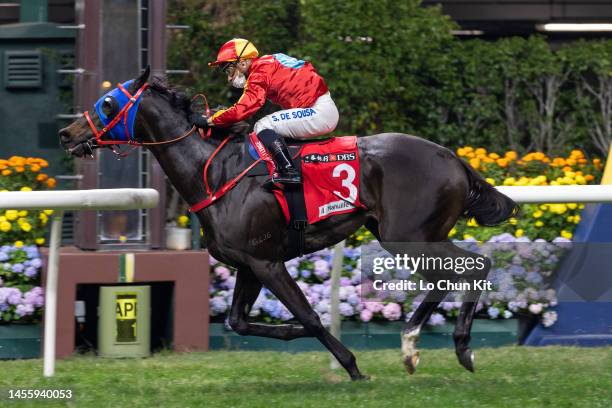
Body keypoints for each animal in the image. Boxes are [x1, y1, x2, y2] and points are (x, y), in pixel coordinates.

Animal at [57, 68, 520, 380]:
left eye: (108, 103)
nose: (67, 133)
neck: (216, 172)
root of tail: (454, 158)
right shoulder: (247, 264)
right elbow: (239, 322)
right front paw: (295, 333)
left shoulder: (267, 261)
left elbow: (310, 317)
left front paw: (353, 367)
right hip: (410, 234)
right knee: (466, 270)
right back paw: (443, 348)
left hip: (407, 236)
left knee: (464, 271)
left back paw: (424, 346)